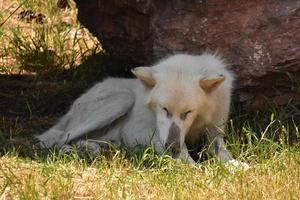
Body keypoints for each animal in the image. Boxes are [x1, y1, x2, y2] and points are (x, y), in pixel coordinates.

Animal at [37, 52, 246, 166]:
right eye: (164, 109)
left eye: (188, 112)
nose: (172, 147)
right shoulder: (150, 135)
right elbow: (188, 158)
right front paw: (199, 169)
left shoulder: (214, 133)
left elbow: (223, 152)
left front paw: (235, 165)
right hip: (121, 100)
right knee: (56, 138)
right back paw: (67, 151)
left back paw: (93, 149)